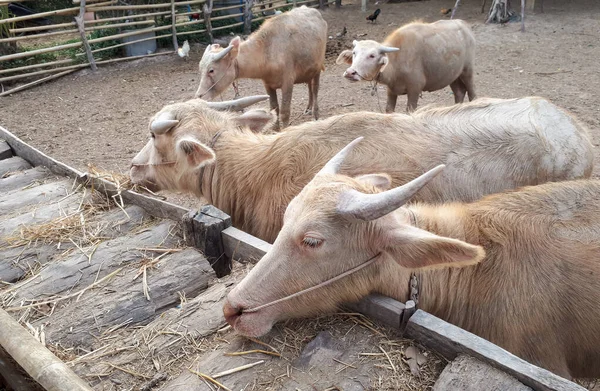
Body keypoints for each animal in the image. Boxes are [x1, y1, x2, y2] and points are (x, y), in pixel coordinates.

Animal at [195, 5, 326, 128]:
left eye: (211, 70)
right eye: (200, 69)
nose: (199, 96)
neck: (267, 51)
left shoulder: (288, 83)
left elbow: (284, 112)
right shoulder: (268, 85)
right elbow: (274, 109)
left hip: (318, 68)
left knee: (315, 89)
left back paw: (315, 113)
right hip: (309, 69)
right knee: (309, 85)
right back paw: (308, 108)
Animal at [338, 19, 478, 112]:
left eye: (372, 55)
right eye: (354, 53)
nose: (350, 73)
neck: (396, 63)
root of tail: (464, 25)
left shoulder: (415, 89)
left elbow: (410, 111)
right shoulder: (391, 90)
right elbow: (389, 110)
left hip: (467, 71)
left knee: (472, 94)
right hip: (453, 76)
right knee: (459, 92)